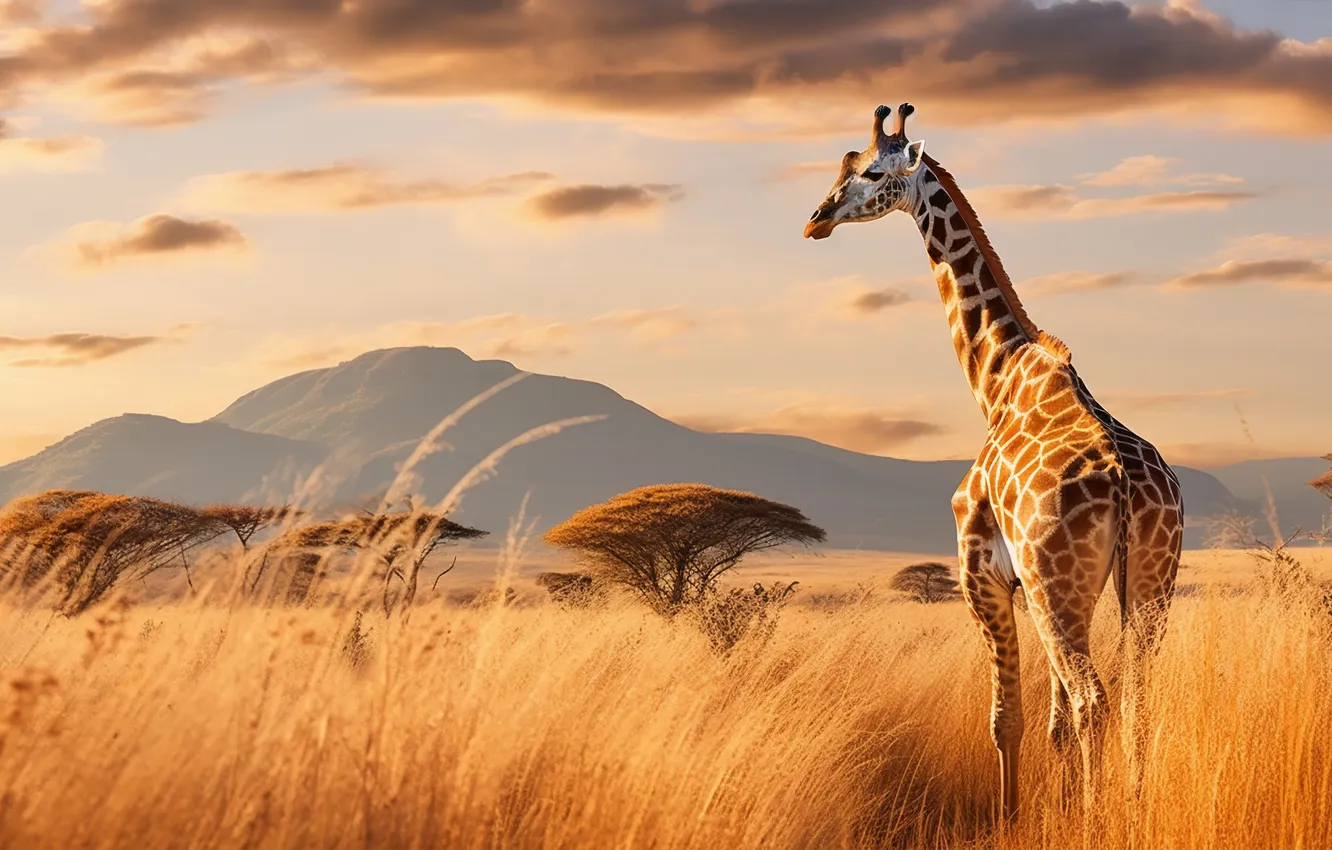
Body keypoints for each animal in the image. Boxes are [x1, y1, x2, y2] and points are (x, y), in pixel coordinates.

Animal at [803, 103, 1183, 822]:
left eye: (872, 173)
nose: (817, 218)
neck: (996, 379)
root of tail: (1126, 488)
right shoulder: (1038, 590)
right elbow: (1051, 722)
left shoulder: (979, 571)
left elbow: (1007, 718)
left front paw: (1013, 820)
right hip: (1148, 583)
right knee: (1137, 699)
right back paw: (1132, 807)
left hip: (1059, 589)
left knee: (1094, 701)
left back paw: (1097, 820)